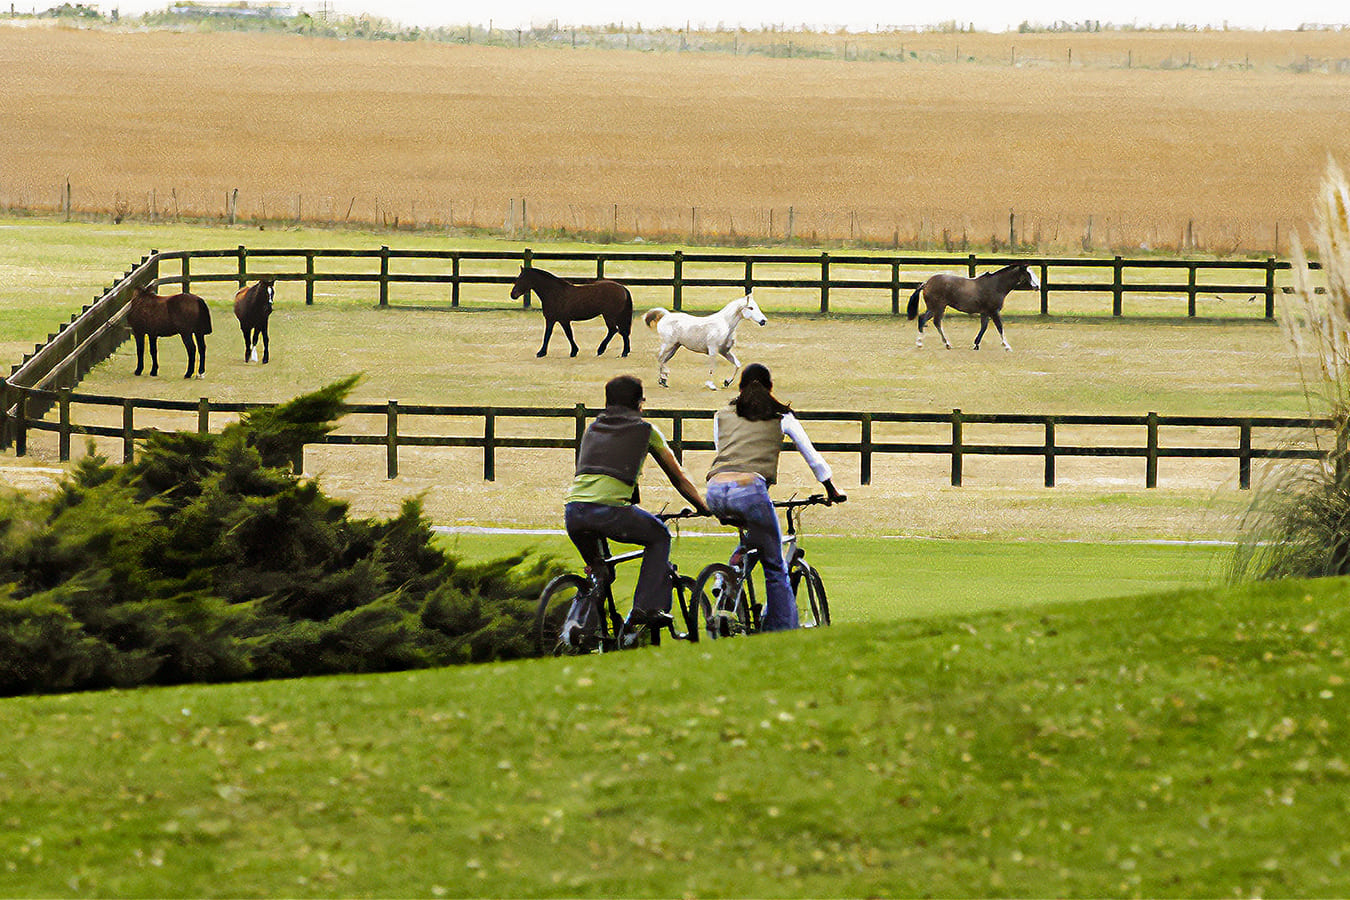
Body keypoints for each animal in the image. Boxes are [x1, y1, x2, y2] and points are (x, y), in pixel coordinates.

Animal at [907, 261, 1042, 350]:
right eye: (1028, 274)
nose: (1037, 286)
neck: (996, 285)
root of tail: (926, 283)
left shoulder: (985, 312)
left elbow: (984, 327)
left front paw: (976, 344)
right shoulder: (994, 311)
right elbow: (999, 327)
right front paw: (1007, 346)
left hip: (934, 308)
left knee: (924, 319)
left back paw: (927, 343)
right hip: (938, 307)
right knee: (933, 322)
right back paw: (940, 344)